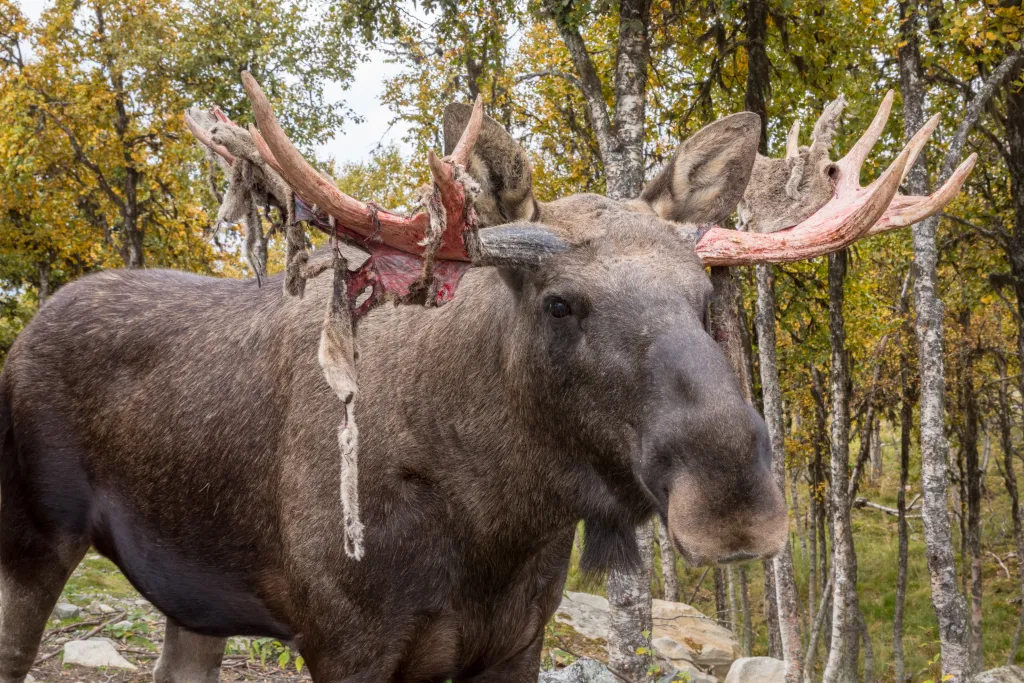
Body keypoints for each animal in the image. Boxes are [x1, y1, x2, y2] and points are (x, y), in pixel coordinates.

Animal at [0, 72, 970, 679]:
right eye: (560, 302)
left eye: (705, 297)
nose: (734, 495)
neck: (495, 518)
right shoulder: (346, 643)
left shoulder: (514, 642)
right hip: (31, 542)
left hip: (194, 597)